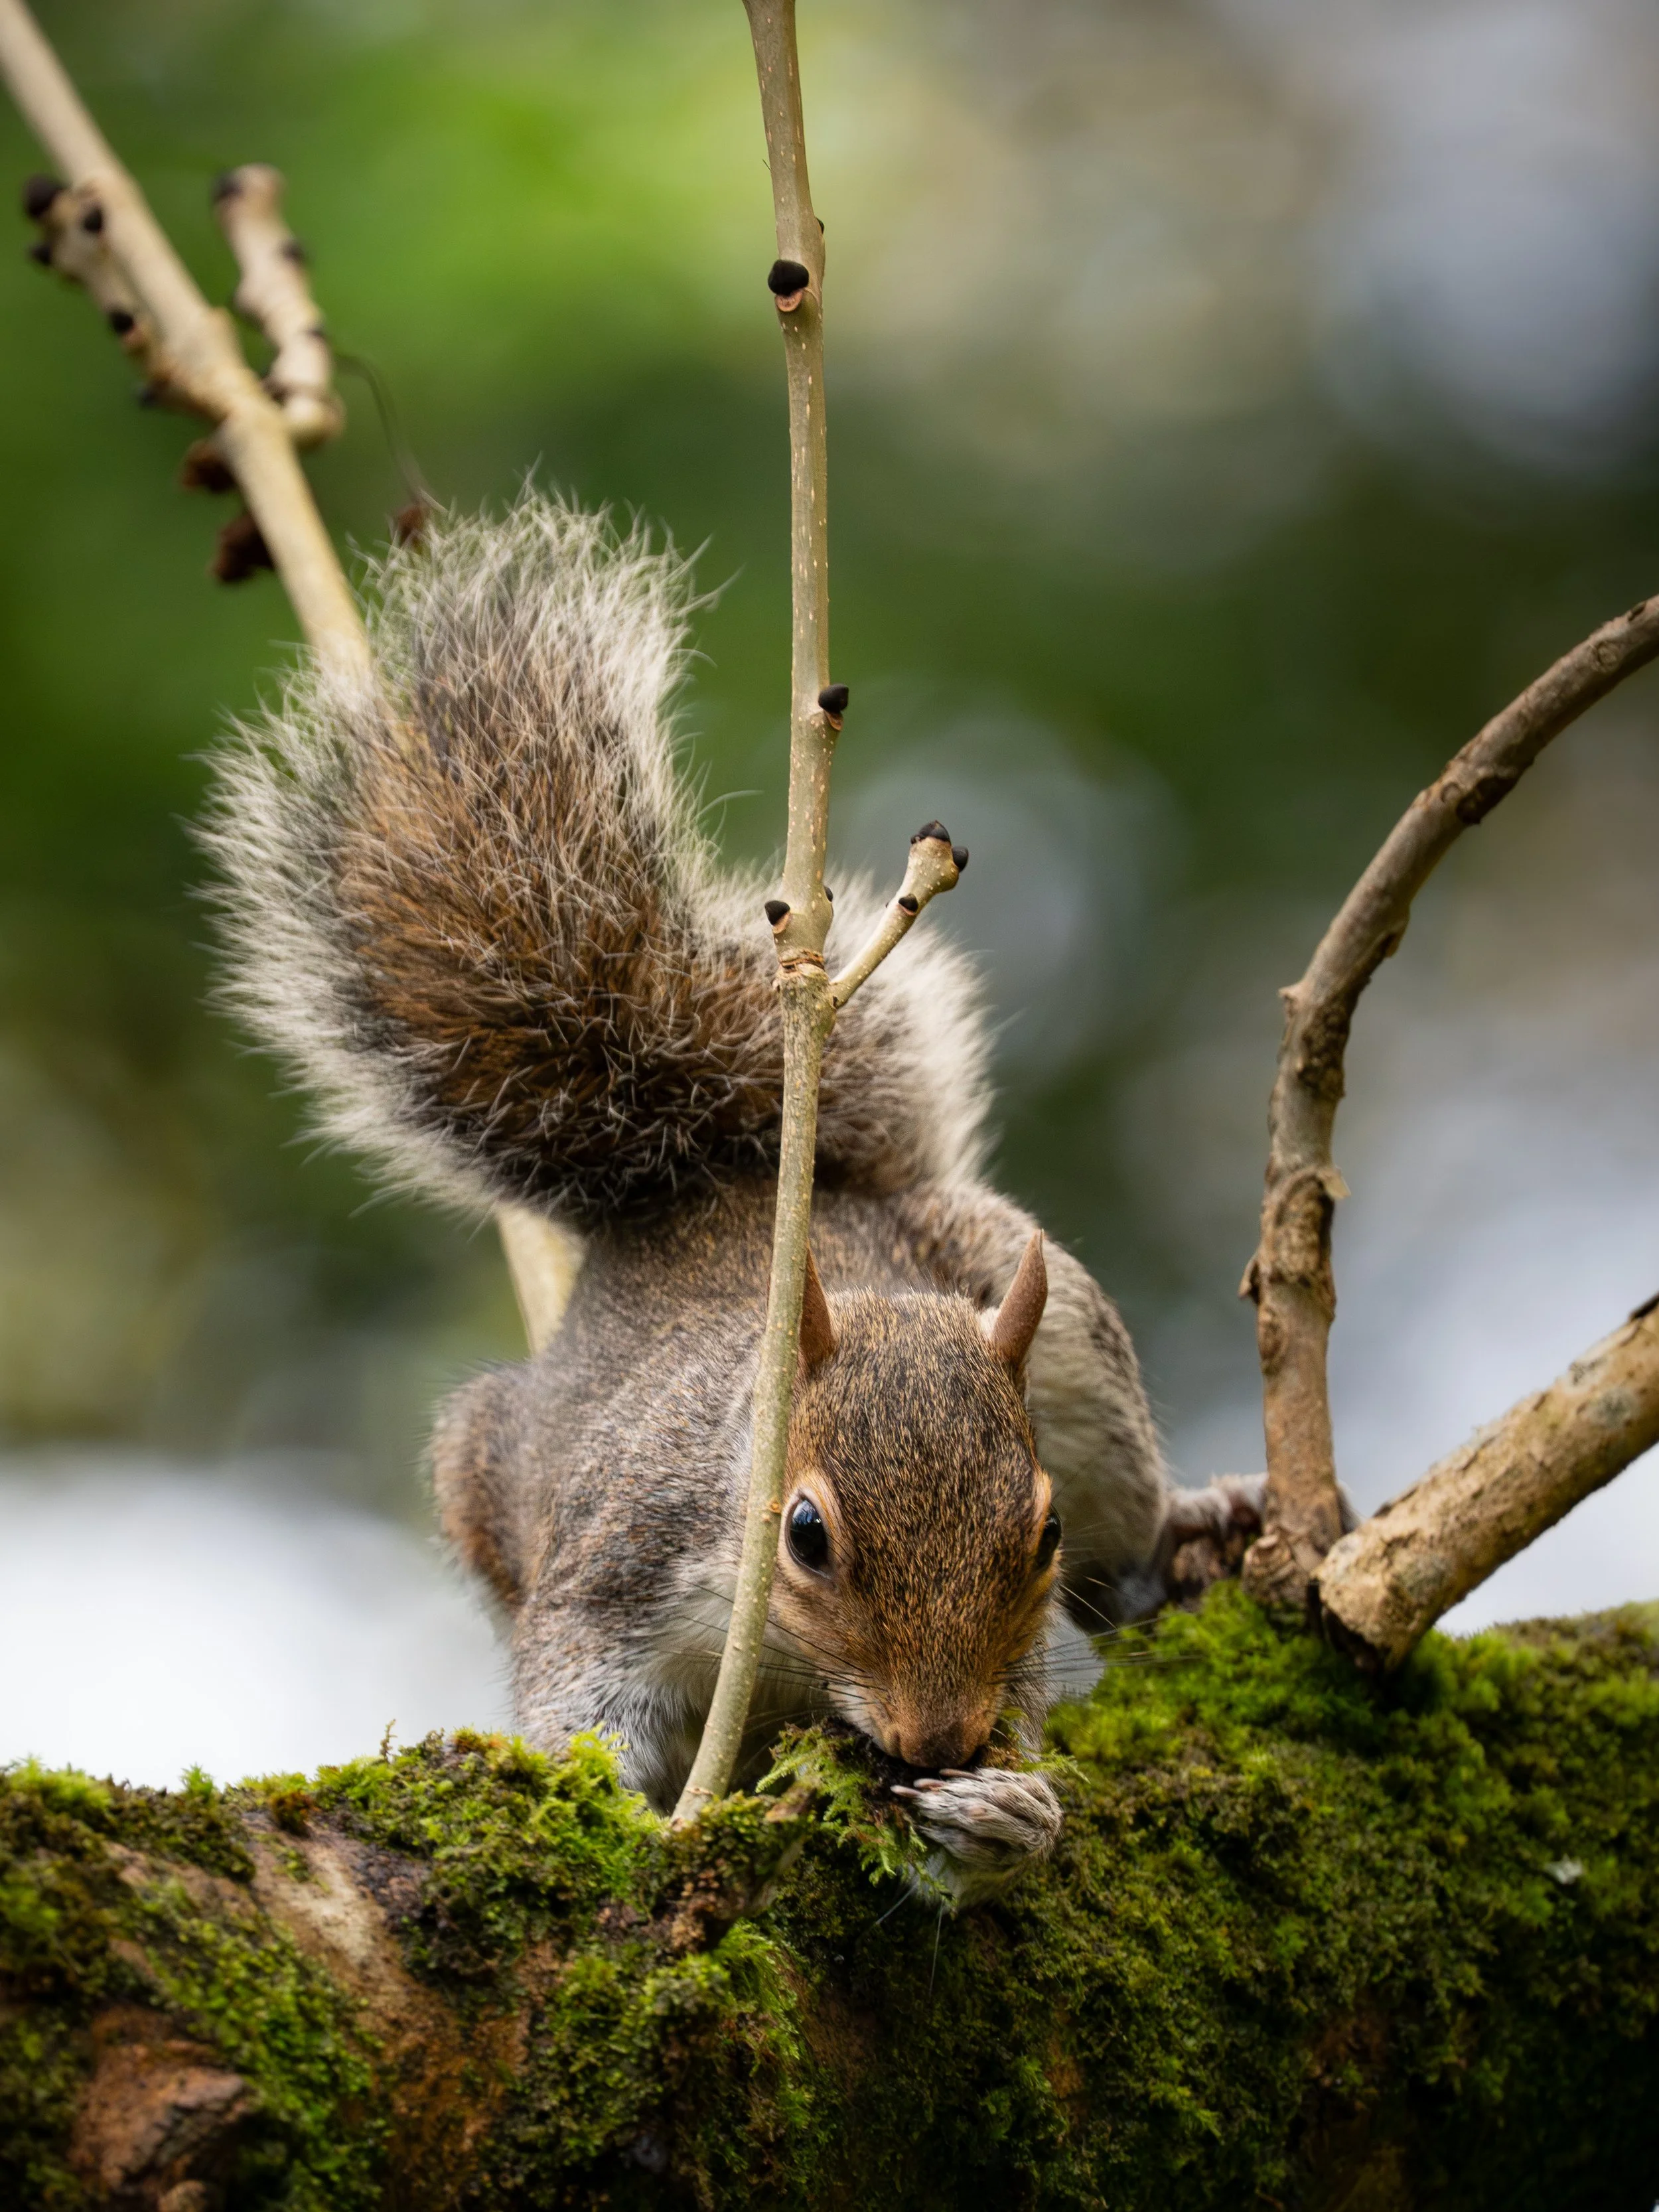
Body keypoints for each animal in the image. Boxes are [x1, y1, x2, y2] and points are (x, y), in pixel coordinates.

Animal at [204, 495, 1263, 1899]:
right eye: (805, 1534)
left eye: (1037, 1532)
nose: (939, 1738)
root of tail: (720, 1177)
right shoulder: (618, 1558)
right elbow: (578, 1700)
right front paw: (597, 1798)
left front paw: (1007, 1810)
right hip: (478, 1476)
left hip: (1065, 1325)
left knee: (1129, 1535)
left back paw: (1190, 1534)